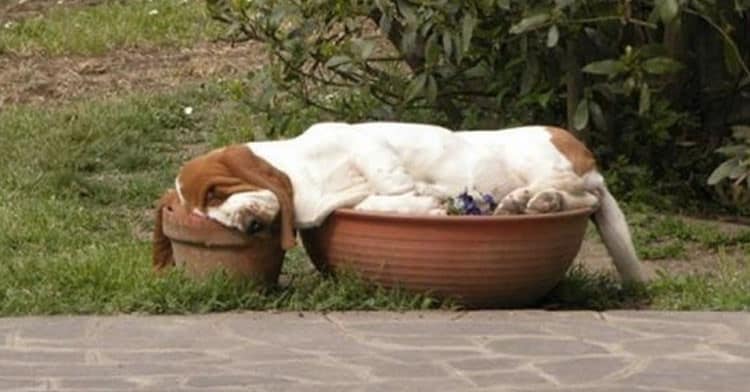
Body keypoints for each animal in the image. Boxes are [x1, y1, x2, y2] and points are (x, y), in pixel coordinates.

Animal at [153, 121, 648, 282]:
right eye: (202, 216)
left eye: (216, 194)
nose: (247, 226)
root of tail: (585, 154)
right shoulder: (350, 202)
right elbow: (379, 205)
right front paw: (426, 206)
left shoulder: (365, 144)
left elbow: (390, 179)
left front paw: (427, 193)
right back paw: (520, 203)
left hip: (543, 162)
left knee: (579, 195)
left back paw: (533, 200)